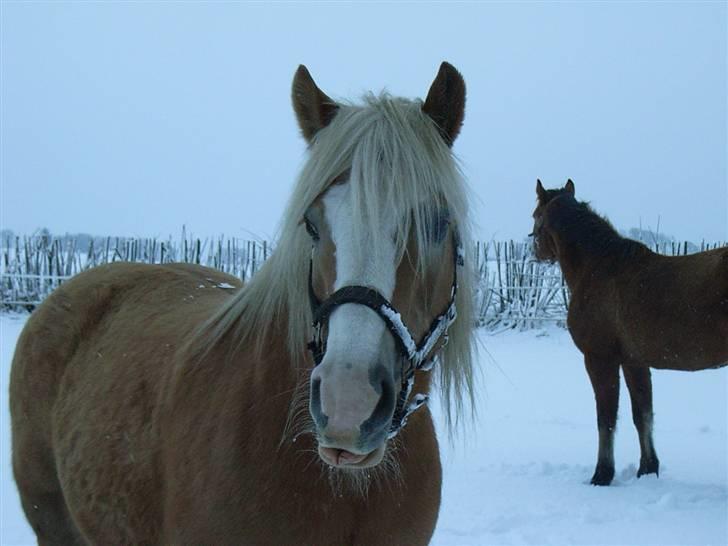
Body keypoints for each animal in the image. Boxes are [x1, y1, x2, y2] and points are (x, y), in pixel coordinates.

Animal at [528, 178, 728, 484]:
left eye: (535, 215)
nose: (534, 252)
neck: (598, 267)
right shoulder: (634, 362)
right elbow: (642, 415)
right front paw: (648, 469)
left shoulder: (600, 359)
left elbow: (607, 418)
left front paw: (602, 474)